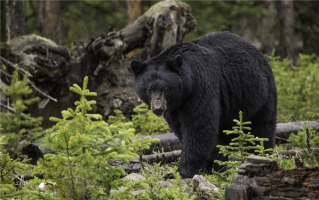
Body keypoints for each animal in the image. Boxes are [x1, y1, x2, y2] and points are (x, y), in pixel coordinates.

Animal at [130, 31, 278, 178]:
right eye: (149, 89)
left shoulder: (201, 88)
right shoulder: (174, 108)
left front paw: (180, 172)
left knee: (261, 128)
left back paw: (261, 154)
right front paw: (211, 165)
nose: (158, 108)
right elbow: (181, 128)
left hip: (259, 93)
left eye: (166, 89)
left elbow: (198, 127)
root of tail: (259, 52)